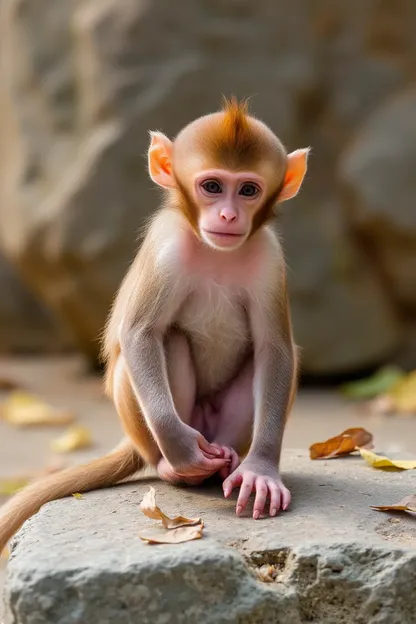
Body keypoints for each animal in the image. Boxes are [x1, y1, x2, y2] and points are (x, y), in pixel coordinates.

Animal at [0, 95, 308, 552]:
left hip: (223, 432)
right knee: (169, 341)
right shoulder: (167, 247)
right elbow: (140, 334)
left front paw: (261, 471)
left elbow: (275, 351)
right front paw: (180, 449)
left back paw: (229, 465)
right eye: (212, 186)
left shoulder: (270, 260)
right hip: (148, 427)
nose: (229, 216)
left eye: (248, 190)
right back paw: (174, 466)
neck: (215, 251)